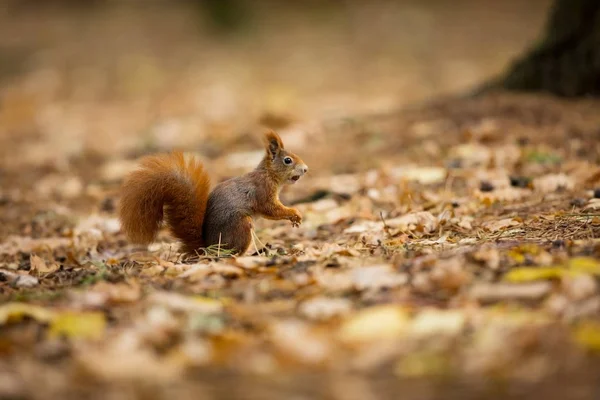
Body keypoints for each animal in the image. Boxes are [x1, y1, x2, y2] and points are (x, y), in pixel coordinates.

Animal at [120, 130, 312, 256]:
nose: (306, 169)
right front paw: (294, 214)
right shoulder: (262, 191)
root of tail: (206, 247)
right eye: (288, 160)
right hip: (241, 225)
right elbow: (271, 209)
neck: (269, 175)